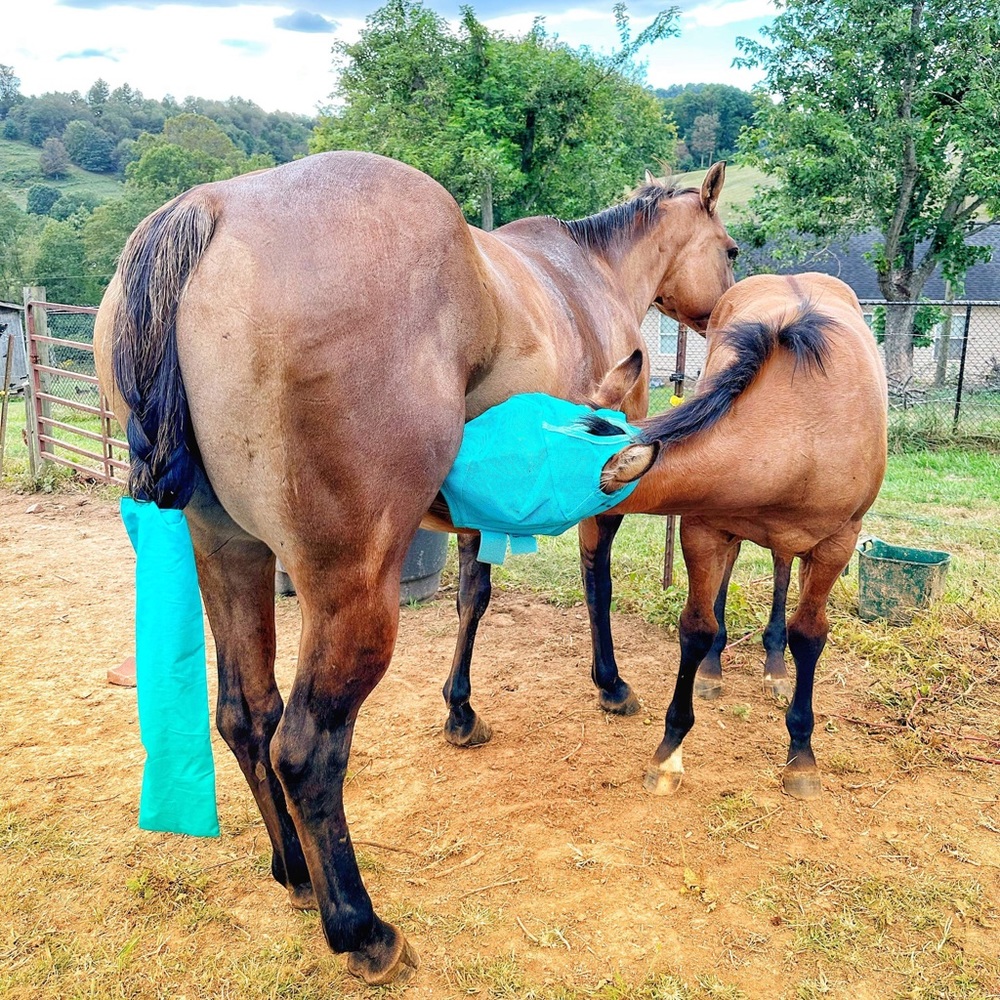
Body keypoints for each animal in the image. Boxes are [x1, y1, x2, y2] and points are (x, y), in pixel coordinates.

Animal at [93, 150, 737, 986]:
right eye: (731, 249)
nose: (725, 321)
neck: (587, 275)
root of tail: (209, 210)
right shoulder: (599, 490)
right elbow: (594, 585)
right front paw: (611, 684)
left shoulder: (477, 509)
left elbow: (473, 596)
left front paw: (459, 711)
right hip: (351, 591)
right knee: (305, 748)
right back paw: (362, 930)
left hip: (229, 553)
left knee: (246, 715)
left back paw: (294, 872)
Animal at [587, 272, 887, 800]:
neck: (798, 429)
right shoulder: (704, 527)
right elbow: (697, 627)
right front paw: (668, 753)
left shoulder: (838, 543)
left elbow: (810, 634)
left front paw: (801, 757)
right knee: (738, 574)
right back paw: (717, 670)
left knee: (784, 570)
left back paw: (777, 667)